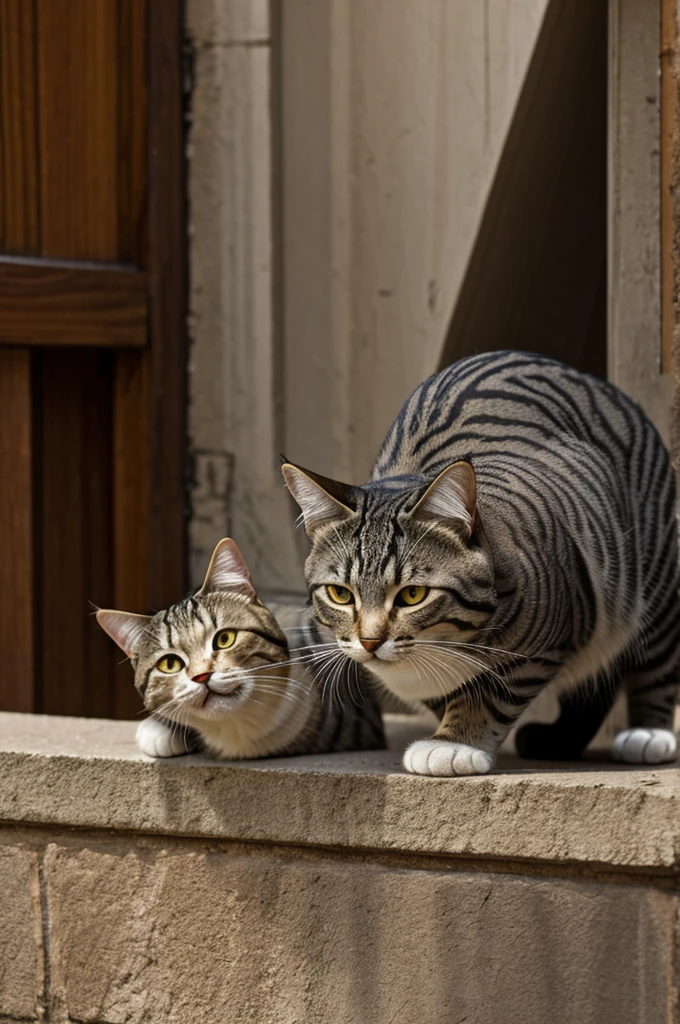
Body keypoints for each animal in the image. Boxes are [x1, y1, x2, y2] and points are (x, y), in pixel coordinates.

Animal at [280, 348, 680, 770]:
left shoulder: (545, 639)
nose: (370, 642)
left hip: (650, 573)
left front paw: (455, 742)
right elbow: (440, 691)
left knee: (655, 657)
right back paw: (560, 740)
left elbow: (488, 691)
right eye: (340, 594)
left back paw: (648, 734)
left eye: (412, 595)